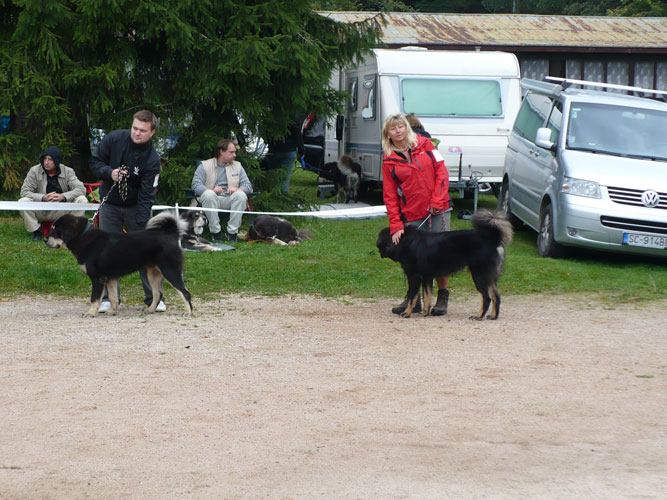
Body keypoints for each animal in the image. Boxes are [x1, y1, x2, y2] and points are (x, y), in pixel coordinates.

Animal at [44, 212, 193, 316]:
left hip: (170, 271)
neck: (82, 236)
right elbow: (113, 296)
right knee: (158, 293)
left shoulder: (97, 278)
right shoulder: (110, 277)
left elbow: (94, 298)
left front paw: (90, 313)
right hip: (153, 273)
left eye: (56, 230)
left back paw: (188, 312)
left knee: (185, 292)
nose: (45, 239)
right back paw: (150, 310)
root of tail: (171, 235)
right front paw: (112, 311)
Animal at [378, 210, 516, 320]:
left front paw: (407, 313)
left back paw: (478, 316)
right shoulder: (427, 277)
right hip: (490, 277)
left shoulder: (414, 276)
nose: (379, 253)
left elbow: (413, 296)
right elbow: (427, 296)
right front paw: (425, 312)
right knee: (496, 296)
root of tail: (492, 237)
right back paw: (493, 316)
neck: (404, 241)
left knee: (486, 298)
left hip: (479, 275)